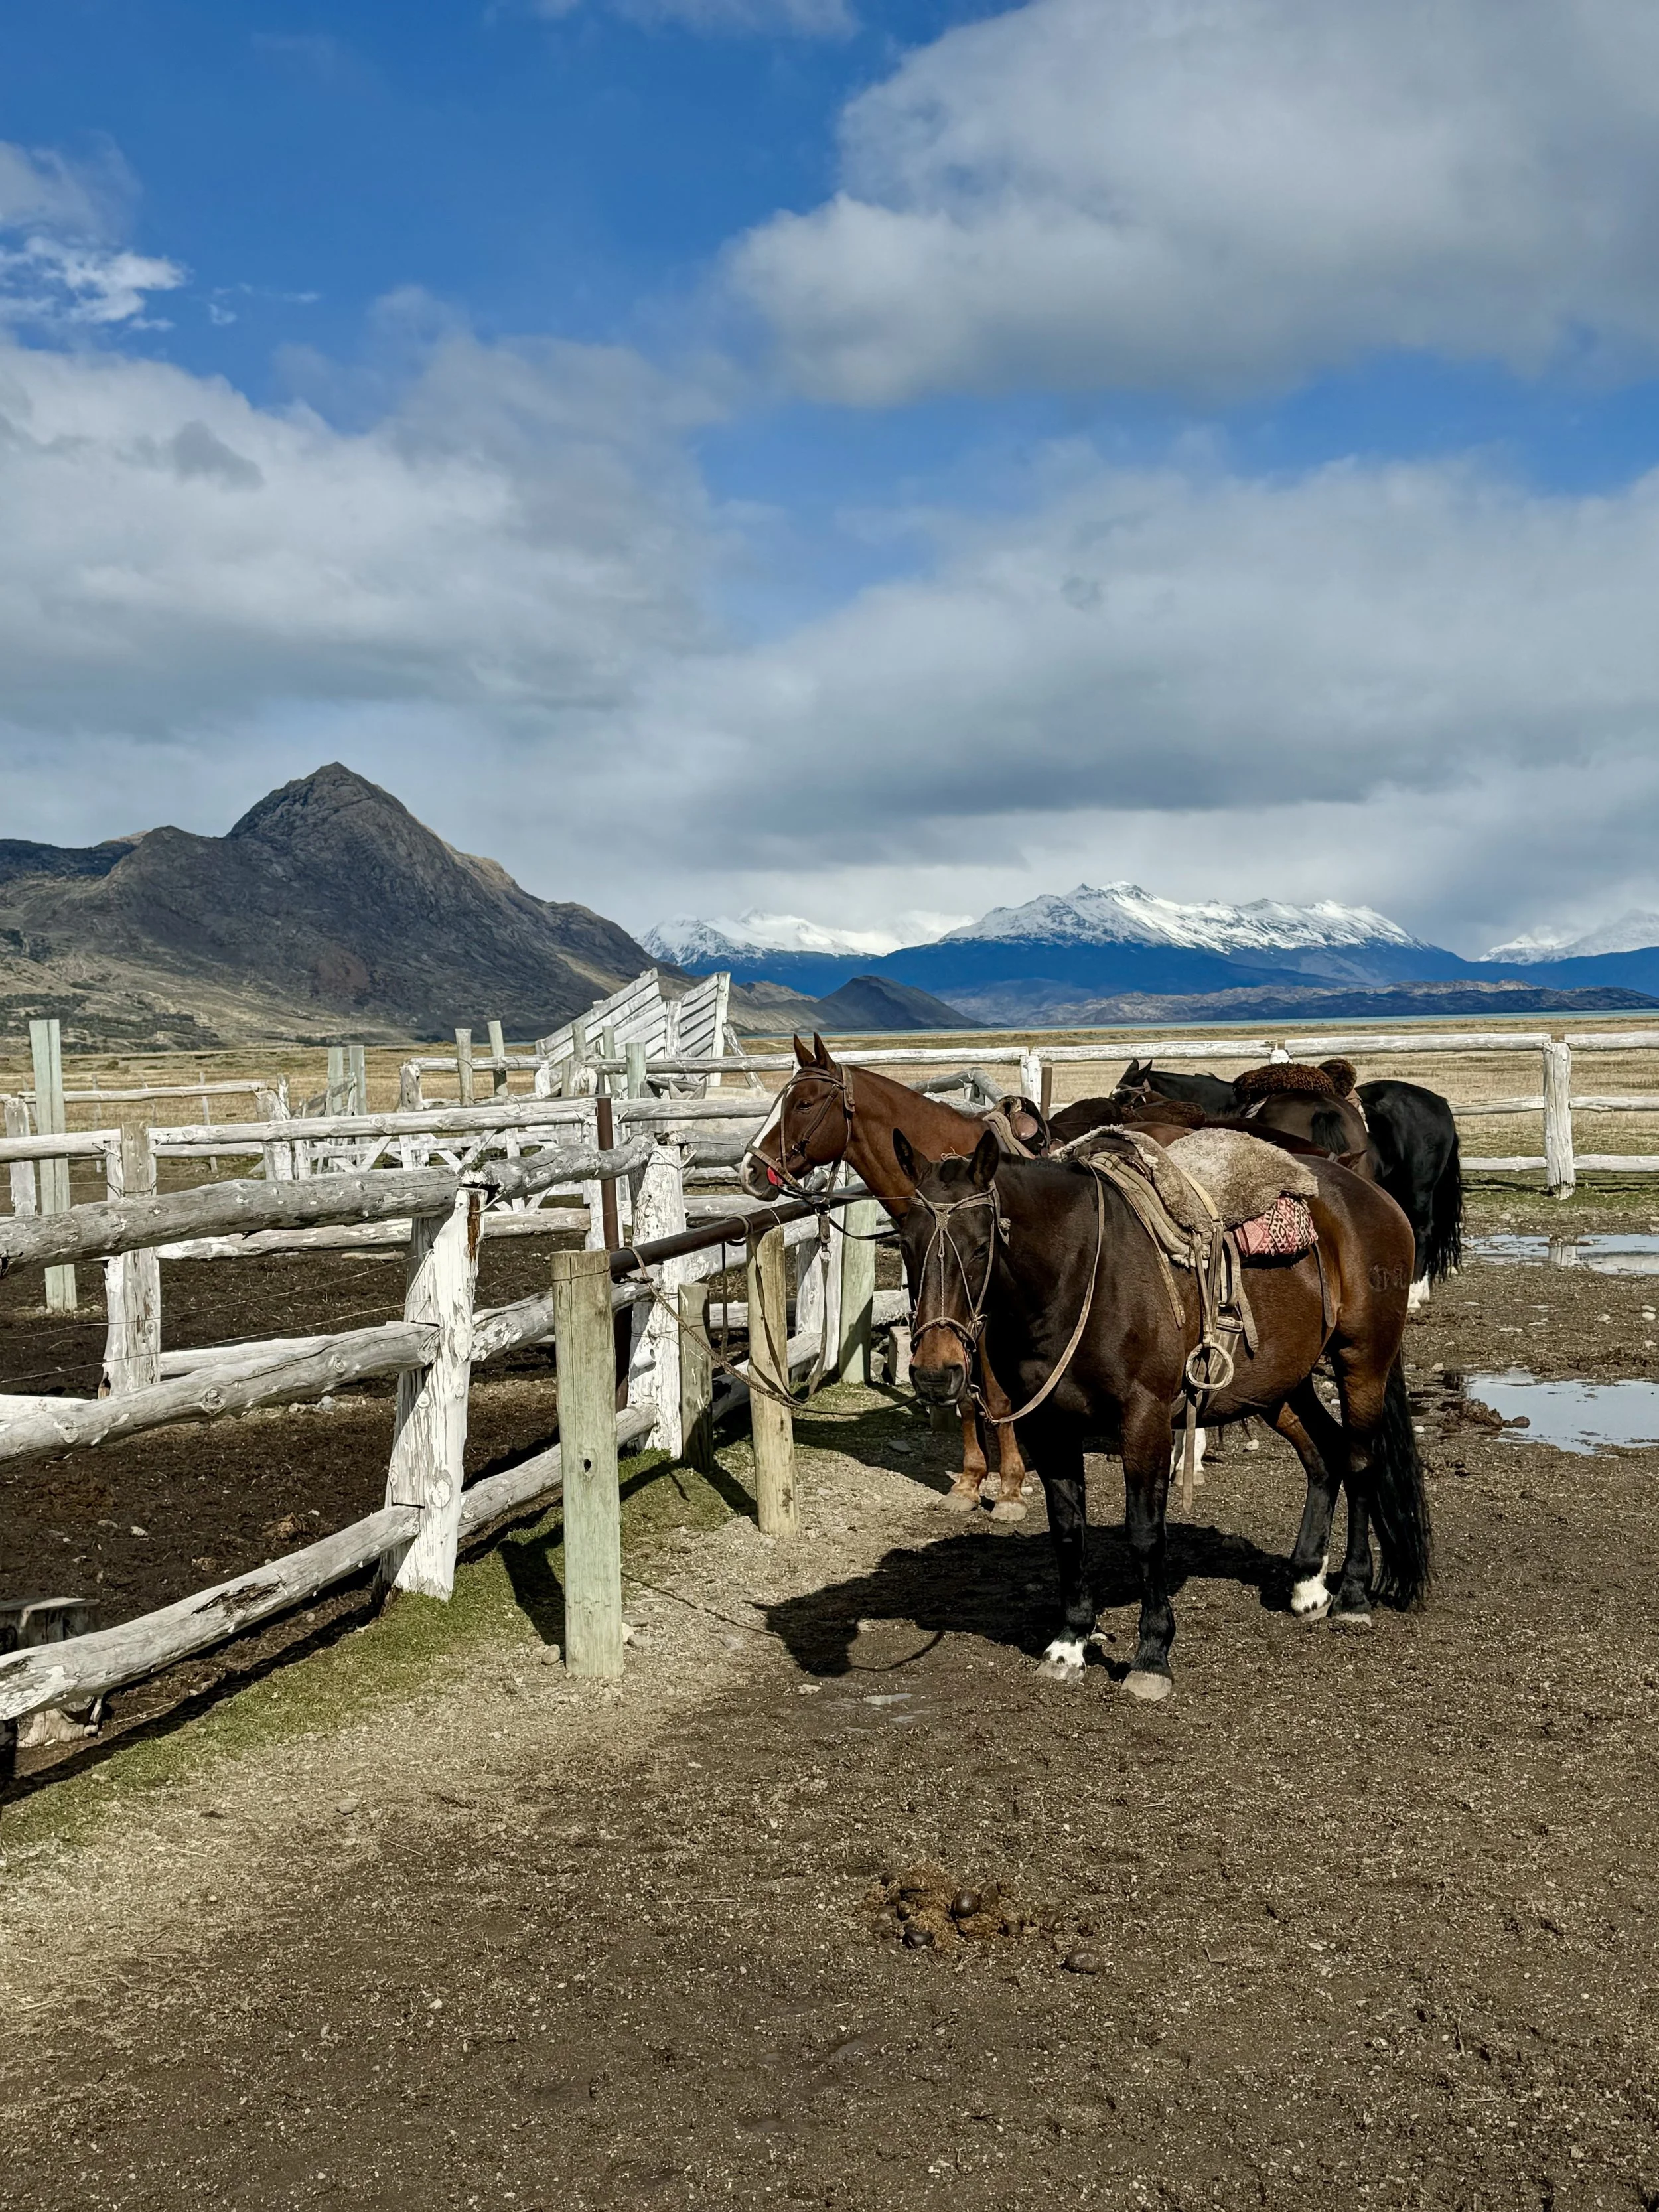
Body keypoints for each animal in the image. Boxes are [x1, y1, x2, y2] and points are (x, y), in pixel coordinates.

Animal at [740, 1035, 1036, 1518]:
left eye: (803, 1103)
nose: (748, 1170)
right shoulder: (943, 1316)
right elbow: (964, 1392)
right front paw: (970, 1481)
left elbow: (995, 1394)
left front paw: (1009, 1488)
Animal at [892, 1125, 1431, 1702]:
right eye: (905, 1244)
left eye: (980, 1246)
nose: (935, 1371)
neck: (1075, 1274)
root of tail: (1373, 1194)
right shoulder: (1050, 1427)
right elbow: (1068, 1530)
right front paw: (1070, 1642)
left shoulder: (1144, 1419)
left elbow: (1146, 1535)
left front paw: (1151, 1656)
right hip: (1278, 1384)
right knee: (1323, 1456)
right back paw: (1308, 1584)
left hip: (1363, 1363)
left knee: (1360, 1463)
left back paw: (1352, 1594)